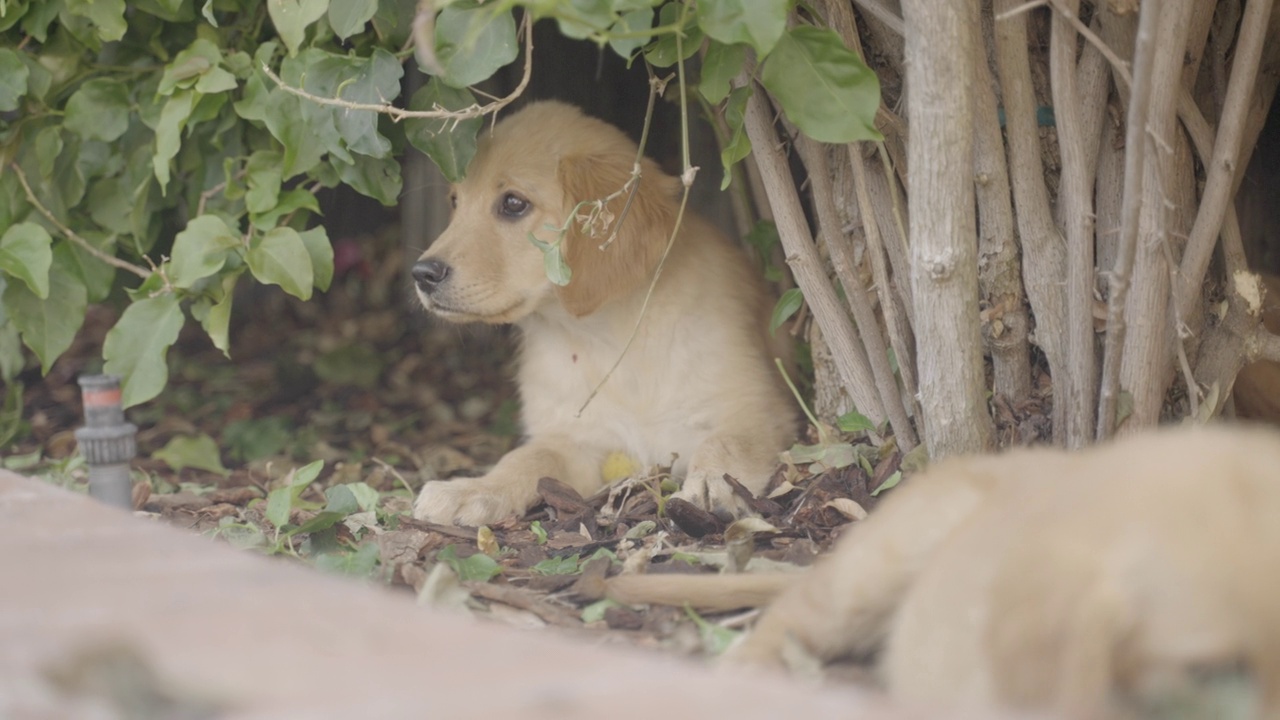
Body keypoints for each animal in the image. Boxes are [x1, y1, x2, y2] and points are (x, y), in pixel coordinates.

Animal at [409, 101, 793, 525]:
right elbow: (525, 457)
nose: (422, 274)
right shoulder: (575, 439)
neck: (606, 336)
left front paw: (712, 482)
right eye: (455, 202)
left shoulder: (756, 409)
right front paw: (475, 489)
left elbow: (727, 443)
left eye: (513, 203)